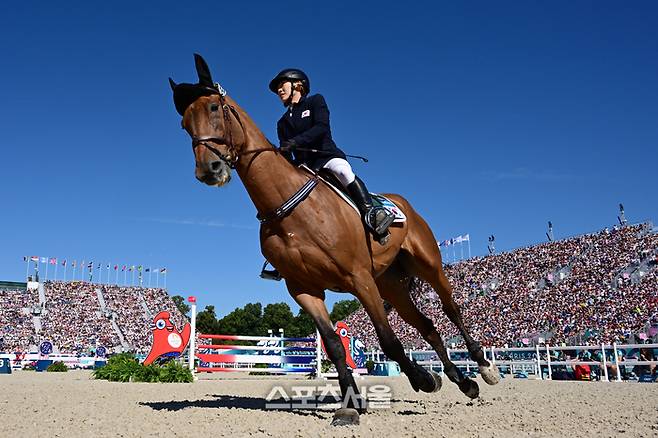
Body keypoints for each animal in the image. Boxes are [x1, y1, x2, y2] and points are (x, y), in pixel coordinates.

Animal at [169, 53, 498, 426]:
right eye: (184, 124)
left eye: (214, 107)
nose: (208, 170)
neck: (289, 208)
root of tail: (403, 204)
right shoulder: (303, 289)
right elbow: (334, 344)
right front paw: (351, 404)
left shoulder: (359, 279)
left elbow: (388, 341)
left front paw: (423, 379)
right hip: (391, 286)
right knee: (428, 325)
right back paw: (463, 381)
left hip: (428, 266)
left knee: (450, 309)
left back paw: (484, 368)